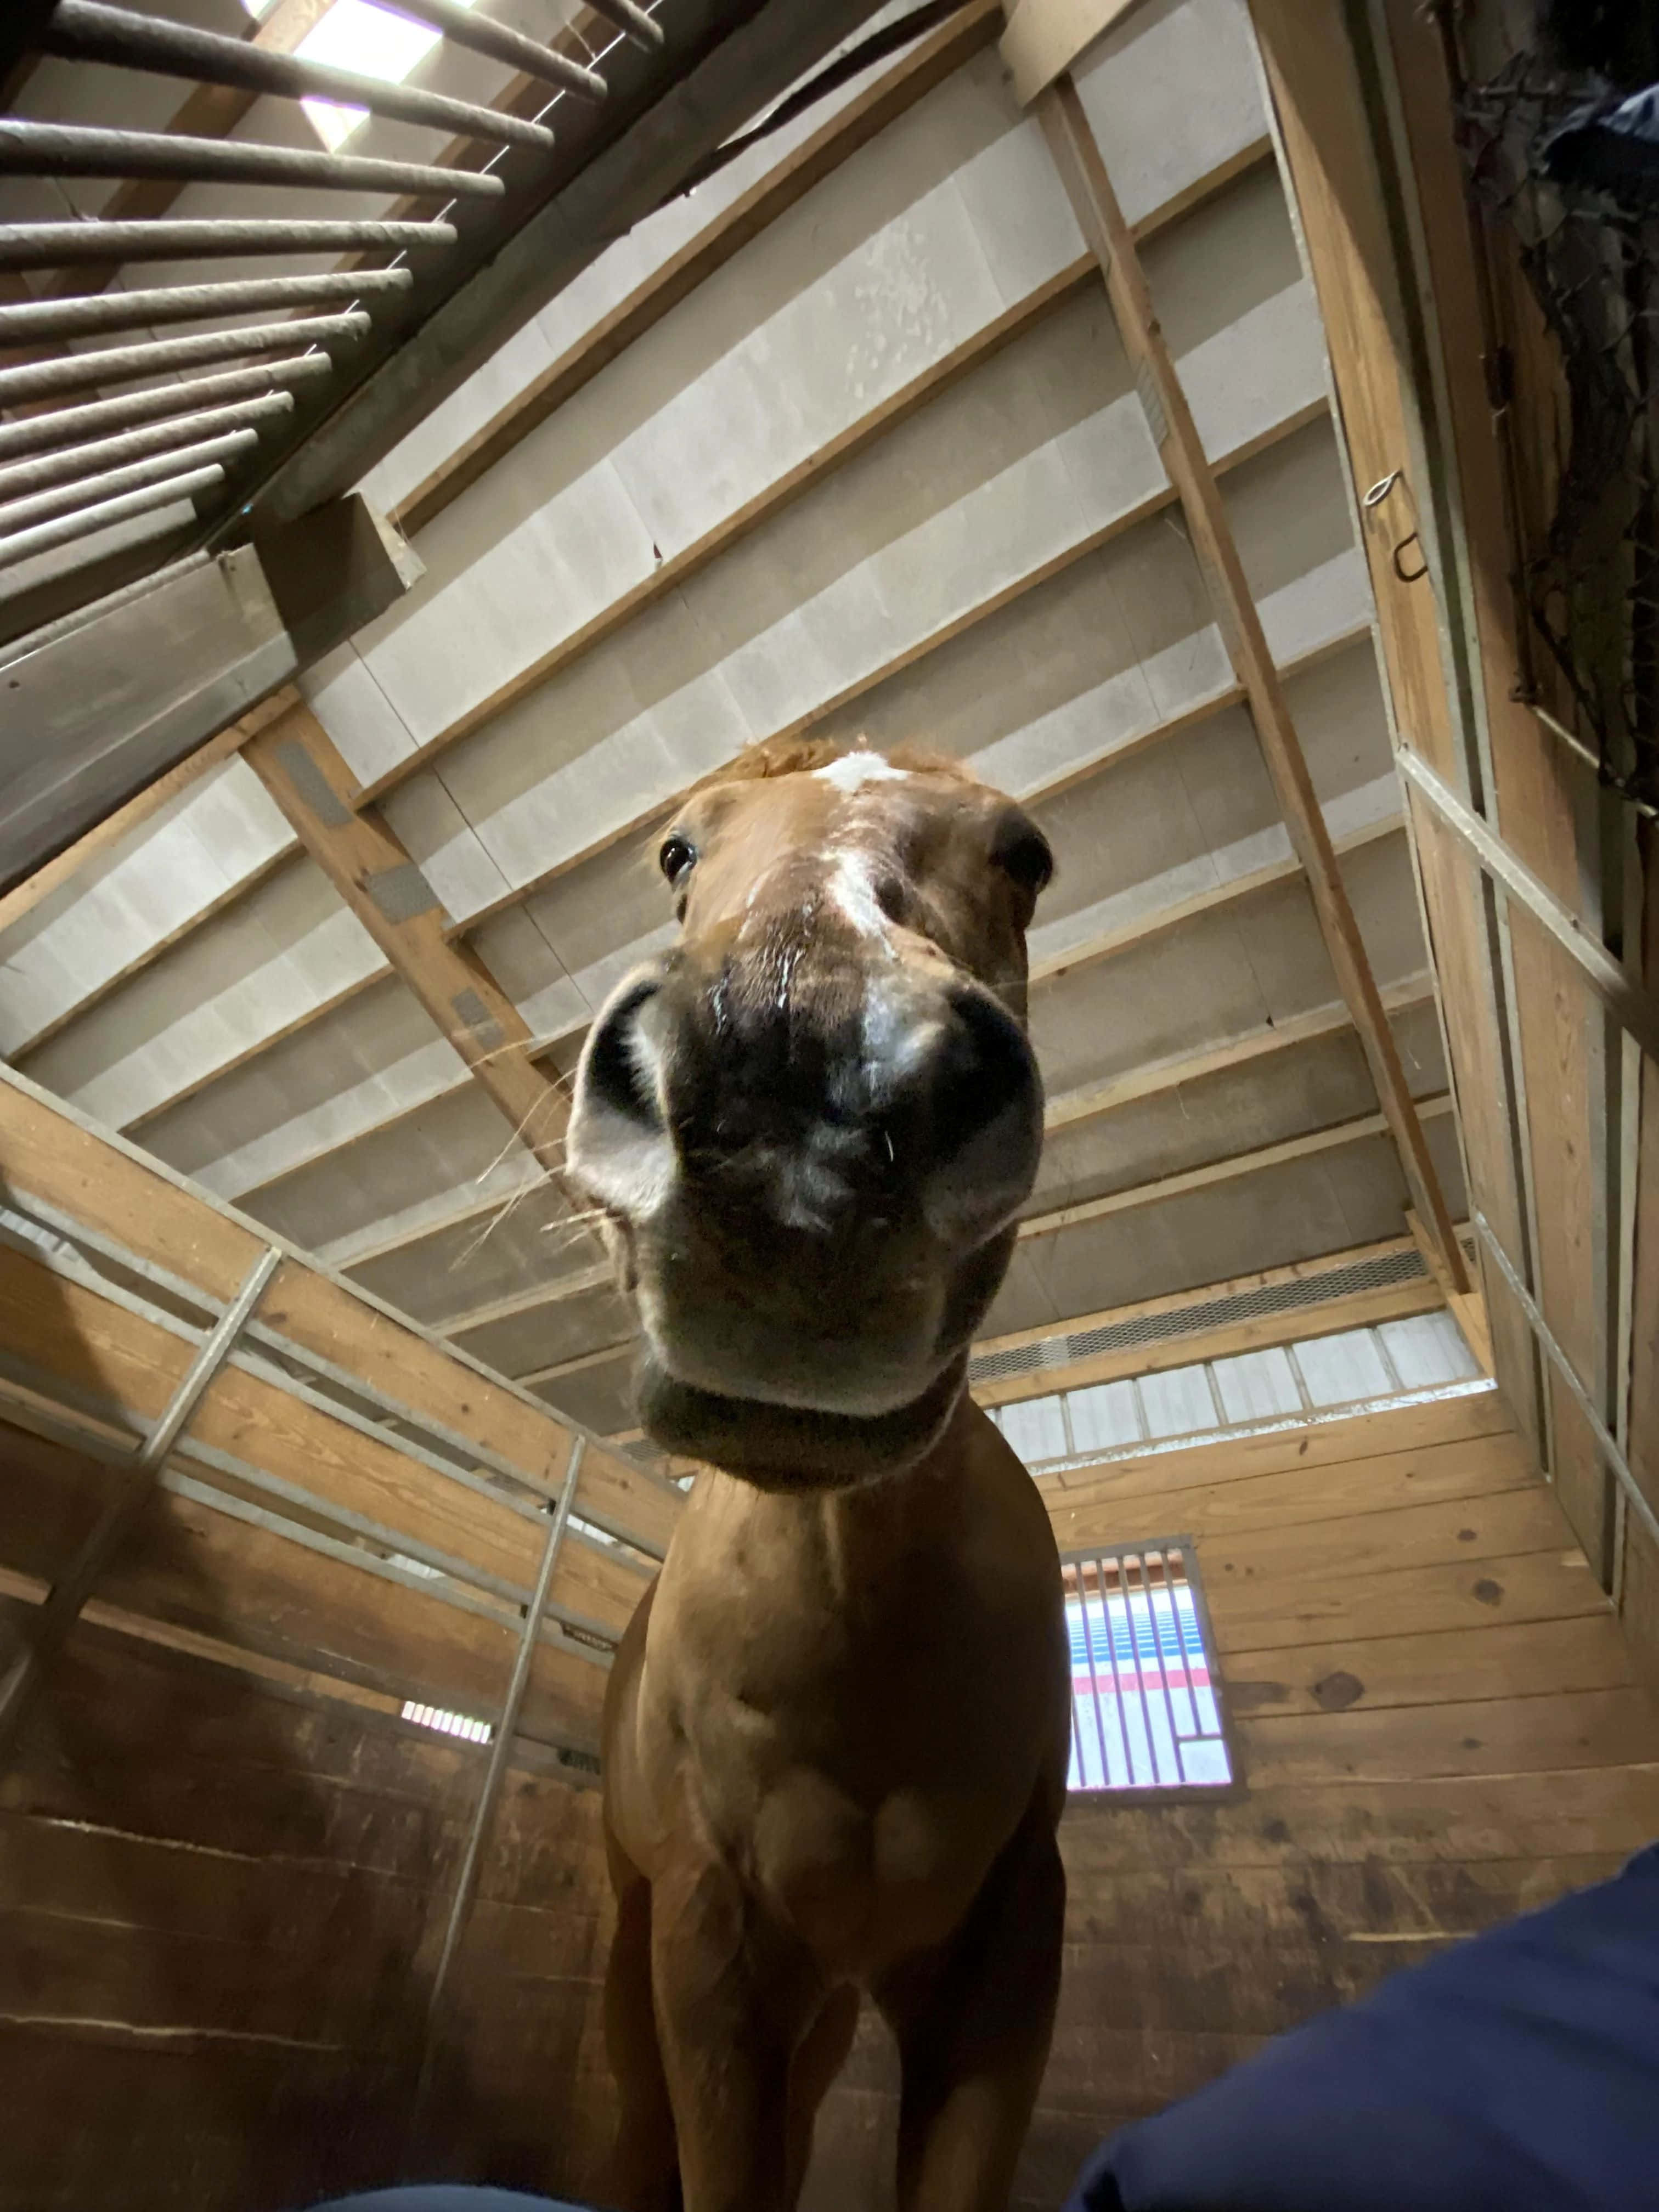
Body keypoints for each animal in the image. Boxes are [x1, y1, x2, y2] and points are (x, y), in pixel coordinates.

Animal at [567, 736, 1071, 2212]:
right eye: (679, 849)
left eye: (1027, 854)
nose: (796, 1073)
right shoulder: (706, 1943)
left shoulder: (1004, 1956)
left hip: (830, 2001)